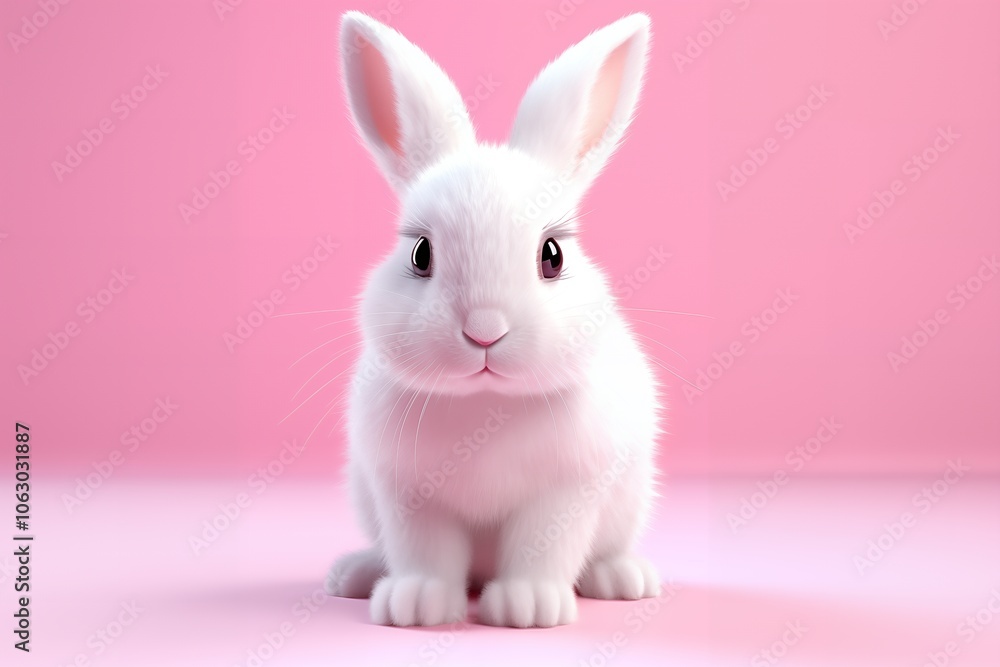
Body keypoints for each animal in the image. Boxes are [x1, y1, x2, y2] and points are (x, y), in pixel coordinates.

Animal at [325, 10, 662, 628]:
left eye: (553, 255)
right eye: (421, 255)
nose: (485, 330)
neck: (486, 404)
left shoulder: (565, 493)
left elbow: (541, 548)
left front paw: (528, 608)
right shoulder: (408, 493)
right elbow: (424, 552)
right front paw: (416, 604)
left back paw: (624, 579)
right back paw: (354, 575)